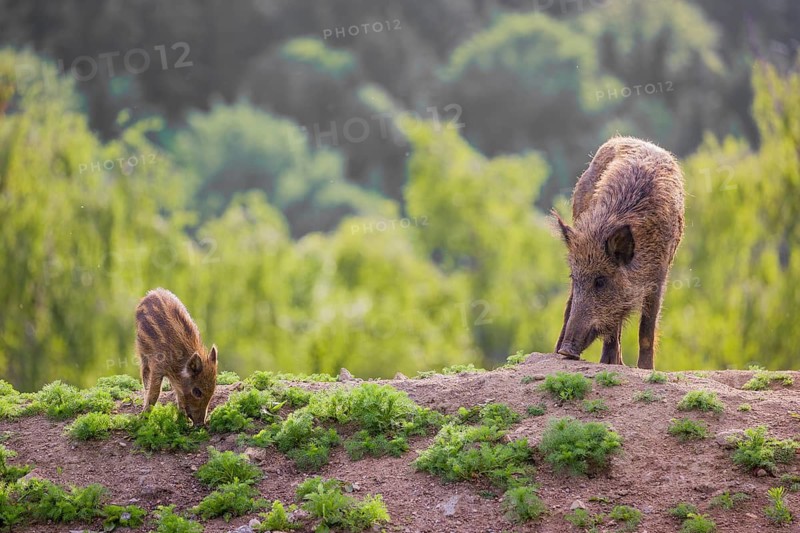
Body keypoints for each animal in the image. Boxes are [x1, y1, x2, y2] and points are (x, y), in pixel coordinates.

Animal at [135, 288, 218, 425]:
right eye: (197, 391)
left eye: (213, 390)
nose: (200, 423)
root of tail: (152, 292)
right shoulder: (158, 366)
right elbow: (155, 393)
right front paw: (142, 420)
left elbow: (179, 395)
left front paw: (182, 420)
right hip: (143, 354)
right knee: (145, 376)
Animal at [553, 136, 685, 369]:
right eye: (574, 277)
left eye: (600, 281)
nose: (568, 350)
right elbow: (613, 324)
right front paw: (608, 364)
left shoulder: (660, 275)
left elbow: (646, 328)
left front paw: (645, 369)